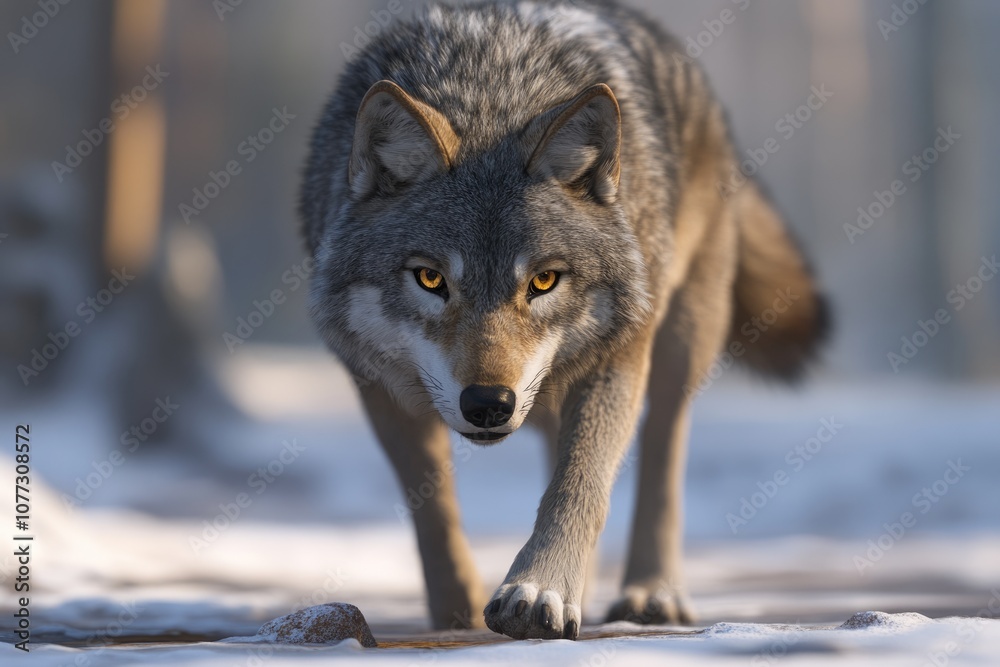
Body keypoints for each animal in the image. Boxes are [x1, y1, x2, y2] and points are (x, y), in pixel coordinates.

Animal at [300, 0, 827, 640]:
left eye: (544, 281)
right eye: (430, 279)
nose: (489, 404)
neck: (491, 90)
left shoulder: (617, 356)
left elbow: (580, 482)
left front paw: (538, 590)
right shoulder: (377, 382)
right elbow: (432, 505)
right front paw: (458, 609)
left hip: (680, 339)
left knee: (663, 448)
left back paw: (652, 593)